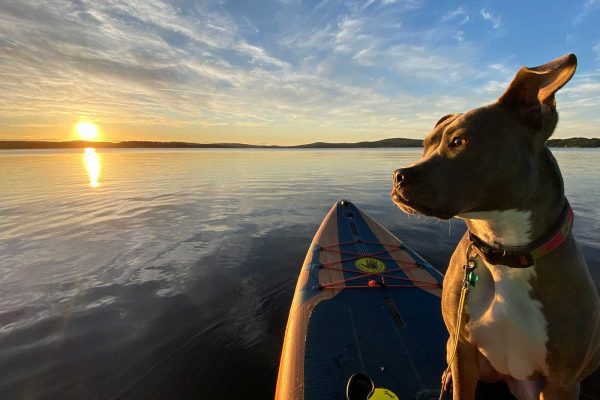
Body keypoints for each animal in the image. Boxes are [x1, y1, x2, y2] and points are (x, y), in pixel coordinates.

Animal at [392, 54, 596, 400]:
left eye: (459, 141)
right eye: (425, 145)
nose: (398, 176)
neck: (504, 250)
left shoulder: (562, 380)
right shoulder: (463, 350)